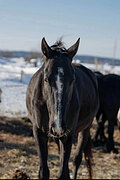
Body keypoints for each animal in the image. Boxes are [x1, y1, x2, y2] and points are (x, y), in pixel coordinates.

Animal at [25, 37, 99, 179]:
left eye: (72, 79)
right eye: (46, 79)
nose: (58, 126)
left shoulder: (68, 134)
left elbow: (63, 172)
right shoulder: (39, 132)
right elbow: (44, 171)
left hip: (85, 128)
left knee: (76, 159)